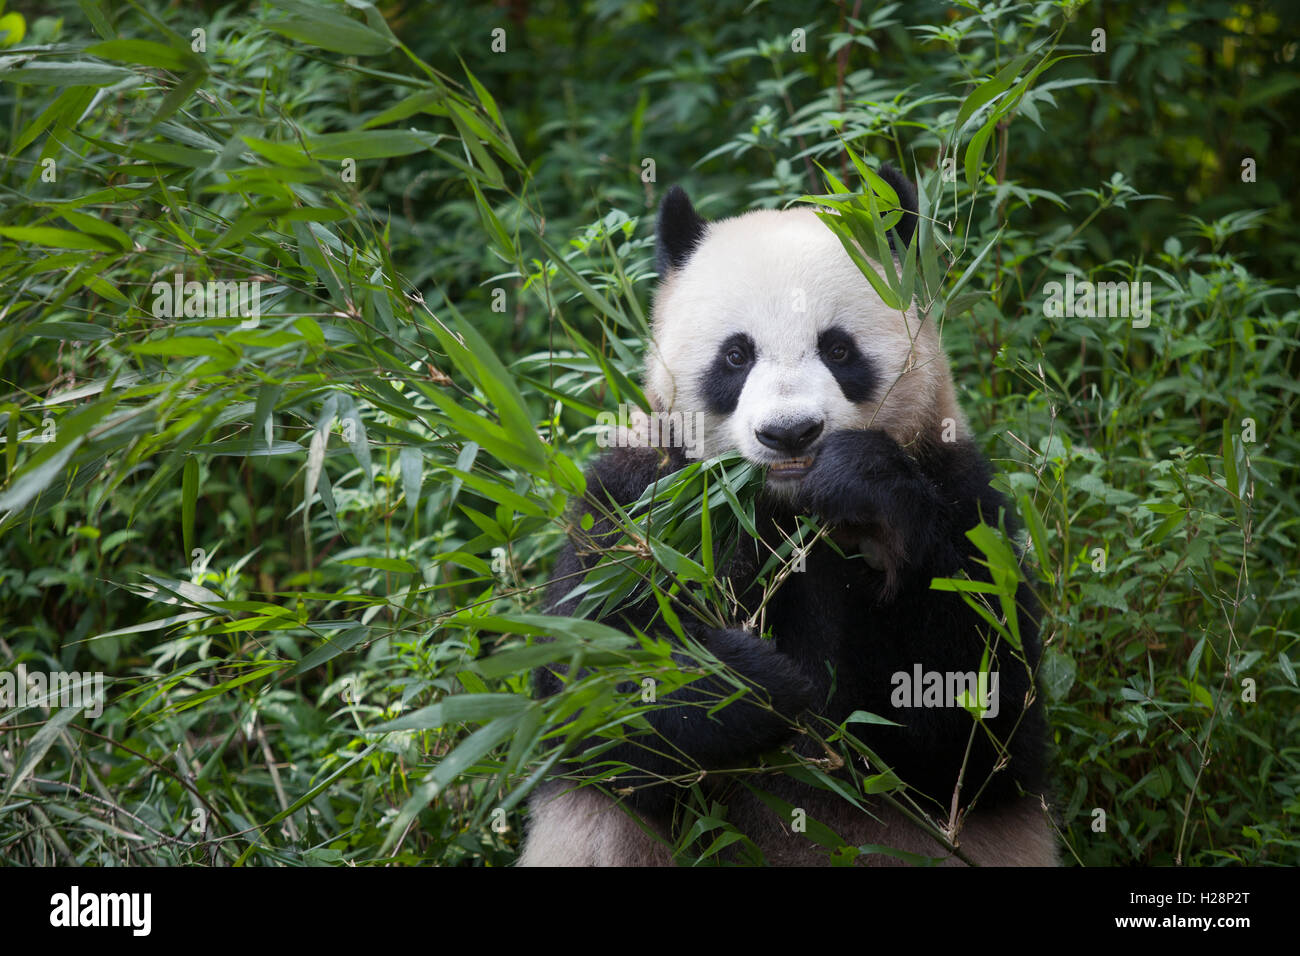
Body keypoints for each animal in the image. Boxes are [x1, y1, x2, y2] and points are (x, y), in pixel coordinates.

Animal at [517, 164, 1055, 868]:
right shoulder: (636, 507)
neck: (781, 511)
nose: (790, 433)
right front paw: (754, 682)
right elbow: (586, 684)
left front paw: (865, 493)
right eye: (736, 355)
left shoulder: (961, 493)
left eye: (838, 349)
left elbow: (981, 732)